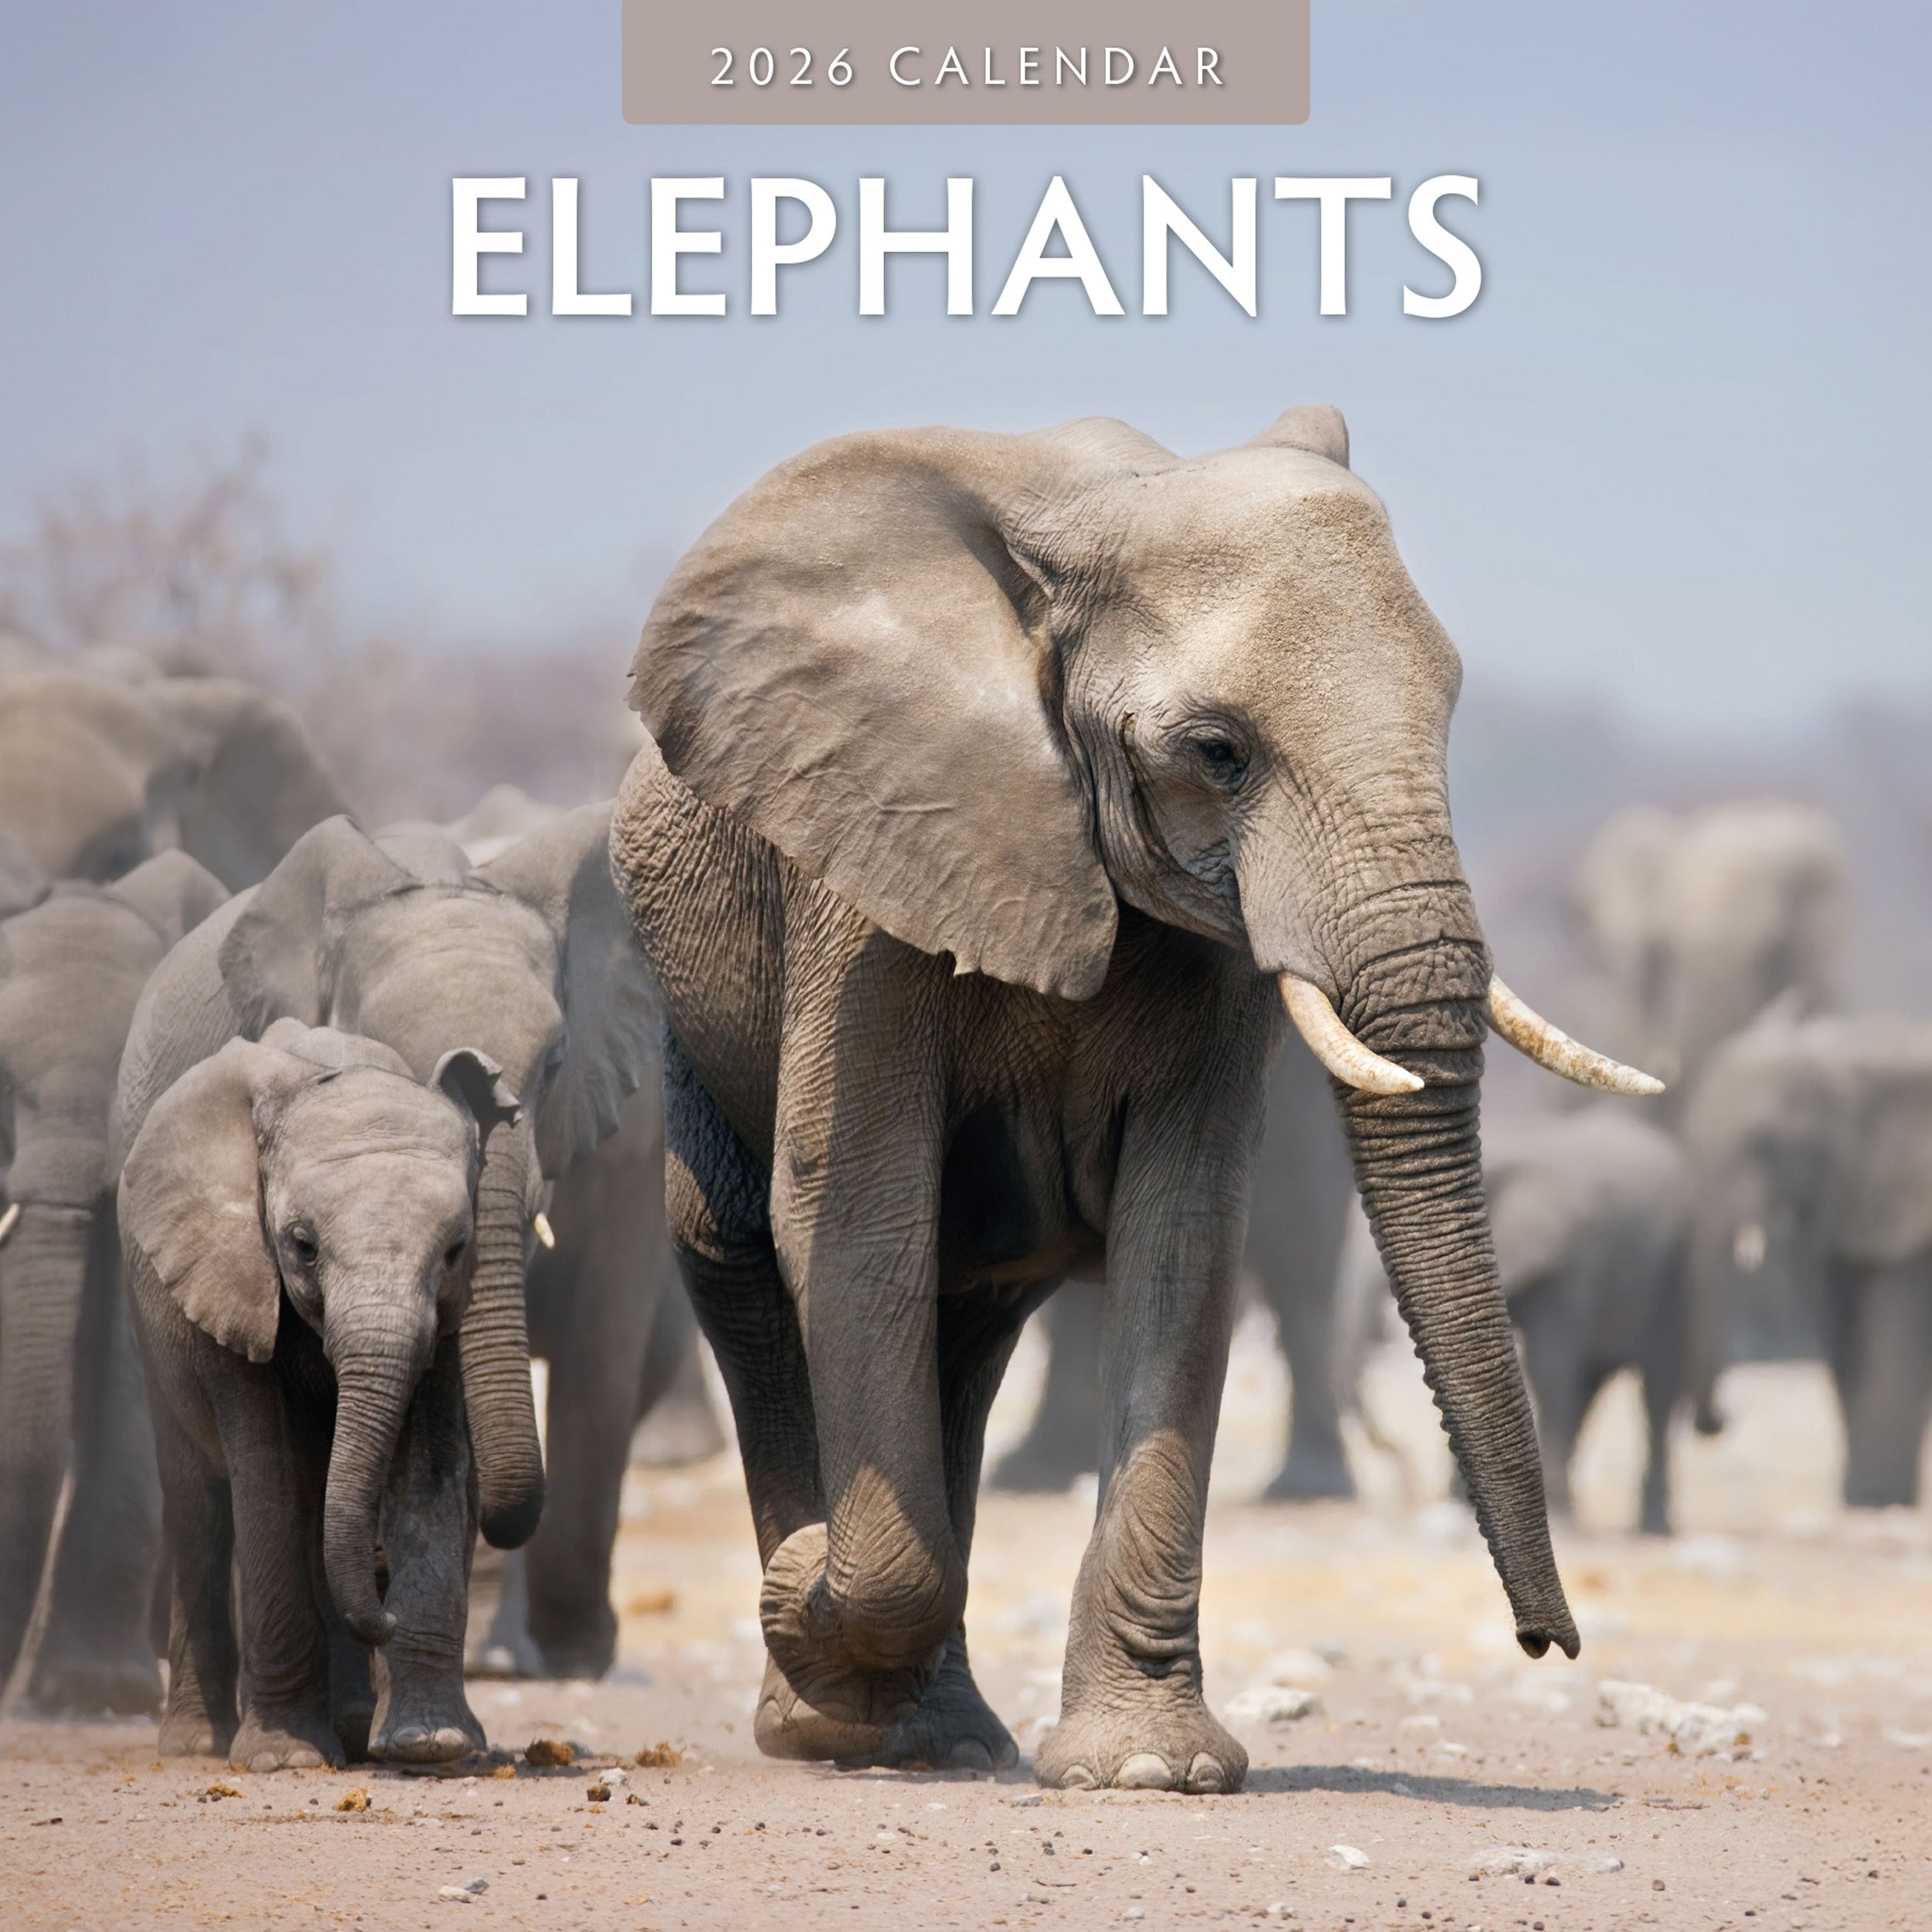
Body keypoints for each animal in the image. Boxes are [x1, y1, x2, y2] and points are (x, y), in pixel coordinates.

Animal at [120, 1020, 510, 1769]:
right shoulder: (231, 1277)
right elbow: (268, 1478)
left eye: (455, 1250)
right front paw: (284, 1758)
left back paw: (356, 1728)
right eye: (302, 1245)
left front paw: (430, 1745)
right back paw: (197, 1744)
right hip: (155, 1340)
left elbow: (429, 1472)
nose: (385, 1611)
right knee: (201, 1509)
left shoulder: (449, 1320)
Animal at [1684, 1008, 1932, 1508]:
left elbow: (1894, 1336)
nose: (1722, 1418)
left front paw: (1879, 1501)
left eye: (1767, 1144)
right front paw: (1862, 1499)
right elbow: (1843, 1335)